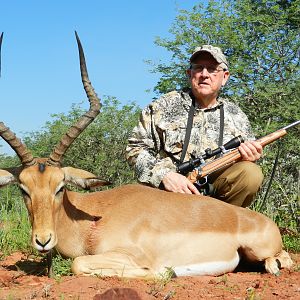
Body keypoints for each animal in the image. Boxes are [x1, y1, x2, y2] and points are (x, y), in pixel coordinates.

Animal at [0, 33, 292, 278]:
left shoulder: (128, 255)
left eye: (60, 187)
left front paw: (165, 272)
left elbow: (80, 264)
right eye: (23, 189)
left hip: (261, 249)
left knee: (283, 259)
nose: (42, 240)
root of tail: (264, 221)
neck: (91, 218)